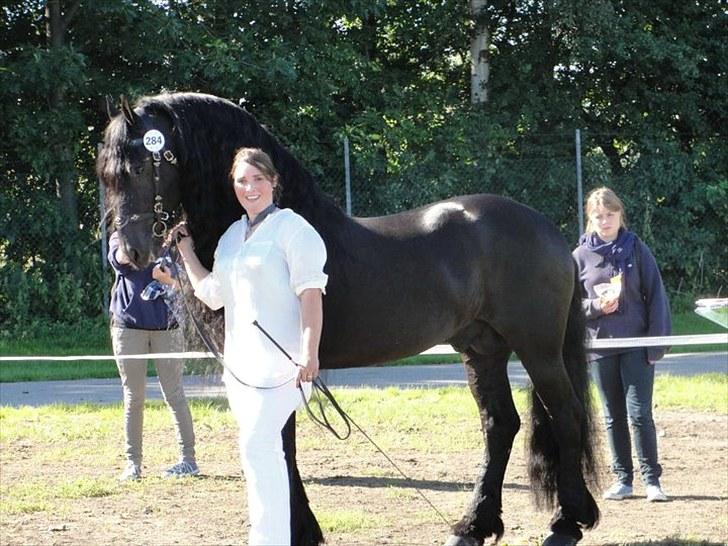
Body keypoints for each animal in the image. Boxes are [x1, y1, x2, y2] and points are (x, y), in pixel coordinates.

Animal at [98, 92, 596, 544]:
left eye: (139, 168)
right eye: (106, 175)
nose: (129, 253)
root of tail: (547, 229)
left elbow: (282, 444)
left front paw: (299, 530)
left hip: (538, 347)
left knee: (566, 413)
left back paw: (566, 524)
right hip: (482, 347)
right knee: (500, 425)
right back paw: (473, 526)